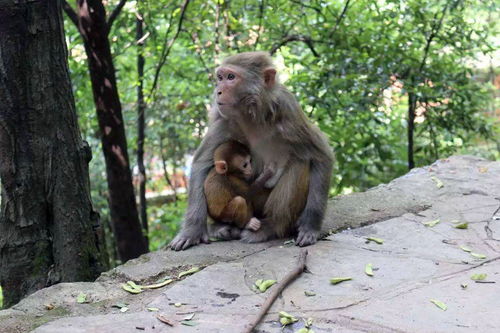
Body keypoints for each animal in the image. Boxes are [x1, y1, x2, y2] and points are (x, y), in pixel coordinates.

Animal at [170, 52, 334, 249]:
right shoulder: (224, 118)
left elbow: (321, 155)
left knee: (301, 162)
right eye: (220, 77)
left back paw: (271, 226)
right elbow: (201, 164)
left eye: (231, 77)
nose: (218, 91)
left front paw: (310, 226)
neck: (253, 114)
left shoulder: (289, 110)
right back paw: (222, 227)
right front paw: (192, 231)